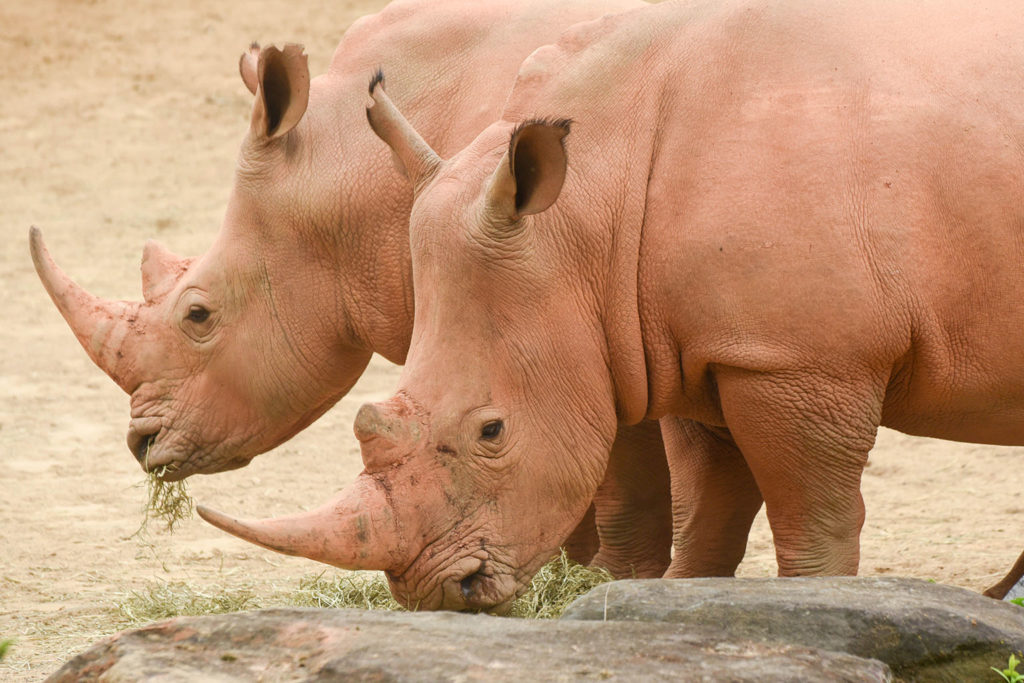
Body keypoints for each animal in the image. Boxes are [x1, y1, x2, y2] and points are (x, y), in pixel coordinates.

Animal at [199, 0, 1024, 614]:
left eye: (492, 431)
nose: (439, 590)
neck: (589, 208)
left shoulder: (799, 360)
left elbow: (810, 523)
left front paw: (815, 606)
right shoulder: (704, 344)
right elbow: (710, 516)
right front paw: (675, 604)